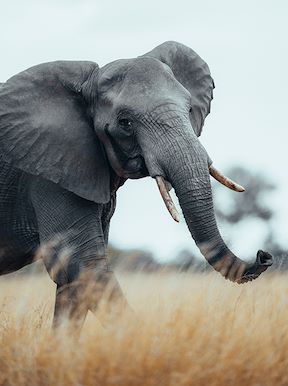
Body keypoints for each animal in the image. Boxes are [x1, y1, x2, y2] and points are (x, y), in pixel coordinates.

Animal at [0, 41, 272, 326]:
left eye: (189, 110)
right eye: (125, 123)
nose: (263, 255)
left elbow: (73, 279)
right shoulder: (48, 171)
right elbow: (84, 262)